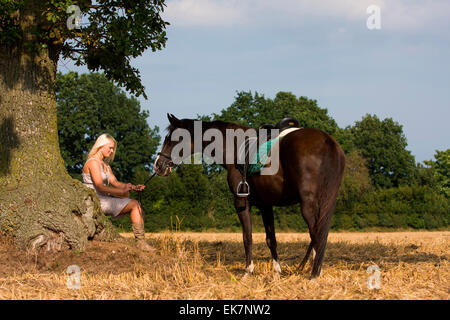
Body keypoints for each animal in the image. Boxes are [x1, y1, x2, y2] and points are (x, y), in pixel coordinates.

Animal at [153, 114, 346, 278]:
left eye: (174, 139)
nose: (158, 165)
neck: (234, 148)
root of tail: (327, 141)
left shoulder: (241, 202)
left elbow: (247, 237)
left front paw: (248, 271)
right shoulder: (265, 205)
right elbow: (271, 239)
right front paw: (277, 272)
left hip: (307, 204)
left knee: (317, 234)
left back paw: (314, 273)